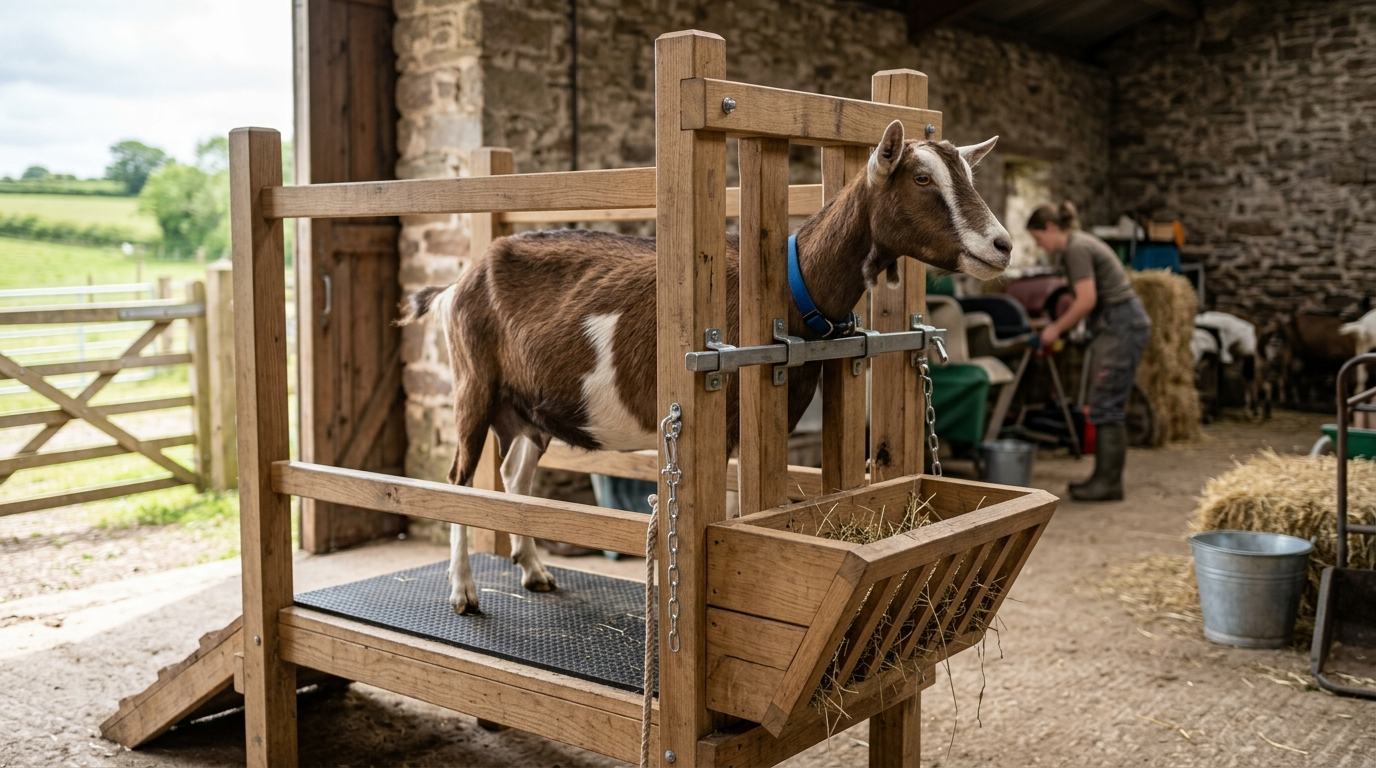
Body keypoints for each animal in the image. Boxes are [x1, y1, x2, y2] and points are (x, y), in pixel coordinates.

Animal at [399, 121, 1012, 615]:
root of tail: (457, 282)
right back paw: (463, 592)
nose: (1002, 245)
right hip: (473, 383)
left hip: (532, 406)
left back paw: (533, 570)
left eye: (966, 174)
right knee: (458, 479)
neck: (794, 286)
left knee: (512, 476)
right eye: (922, 179)